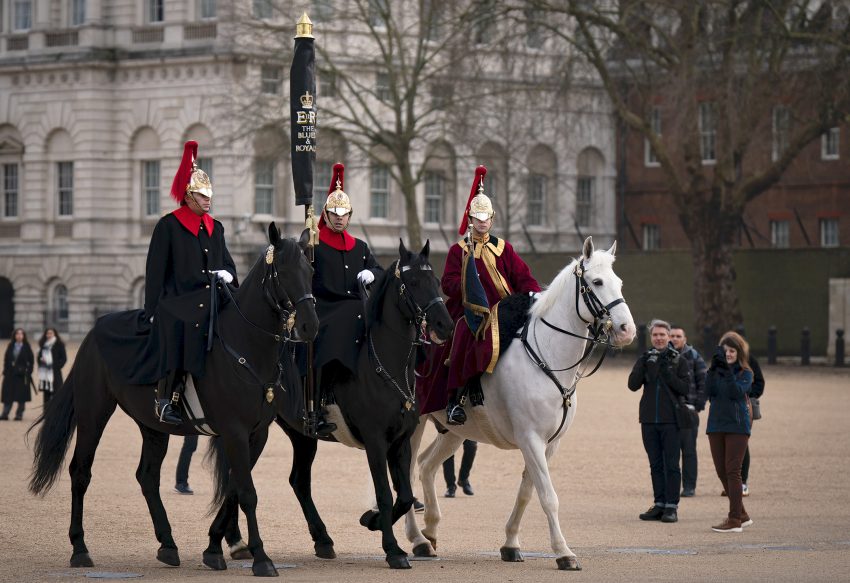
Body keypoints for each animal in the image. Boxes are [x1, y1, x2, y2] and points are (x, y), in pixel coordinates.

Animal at [29, 226, 318, 576]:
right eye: (284, 272)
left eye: (311, 271)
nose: (310, 326)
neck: (246, 347)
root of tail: (95, 330)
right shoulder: (234, 432)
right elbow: (247, 492)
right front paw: (261, 557)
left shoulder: (256, 433)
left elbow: (234, 488)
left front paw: (214, 548)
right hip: (93, 414)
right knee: (80, 472)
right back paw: (80, 548)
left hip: (152, 427)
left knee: (147, 477)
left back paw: (167, 544)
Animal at [211, 241, 450, 572]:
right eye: (413, 282)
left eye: (436, 281)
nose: (445, 324)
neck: (385, 362)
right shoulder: (375, 440)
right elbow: (385, 493)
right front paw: (392, 548)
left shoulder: (400, 440)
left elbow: (404, 496)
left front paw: (373, 521)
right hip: (252, 431)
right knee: (238, 479)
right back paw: (234, 542)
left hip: (300, 435)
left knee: (294, 481)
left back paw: (318, 539)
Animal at [400, 236, 632, 572]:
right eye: (597, 282)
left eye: (619, 282)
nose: (628, 330)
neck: (547, 355)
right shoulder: (530, 439)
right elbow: (548, 496)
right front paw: (564, 552)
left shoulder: (549, 444)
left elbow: (527, 492)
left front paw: (510, 544)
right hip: (415, 426)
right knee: (406, 473)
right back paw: (417, 538)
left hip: (455, 433)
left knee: (426, 465)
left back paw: (429, 531)